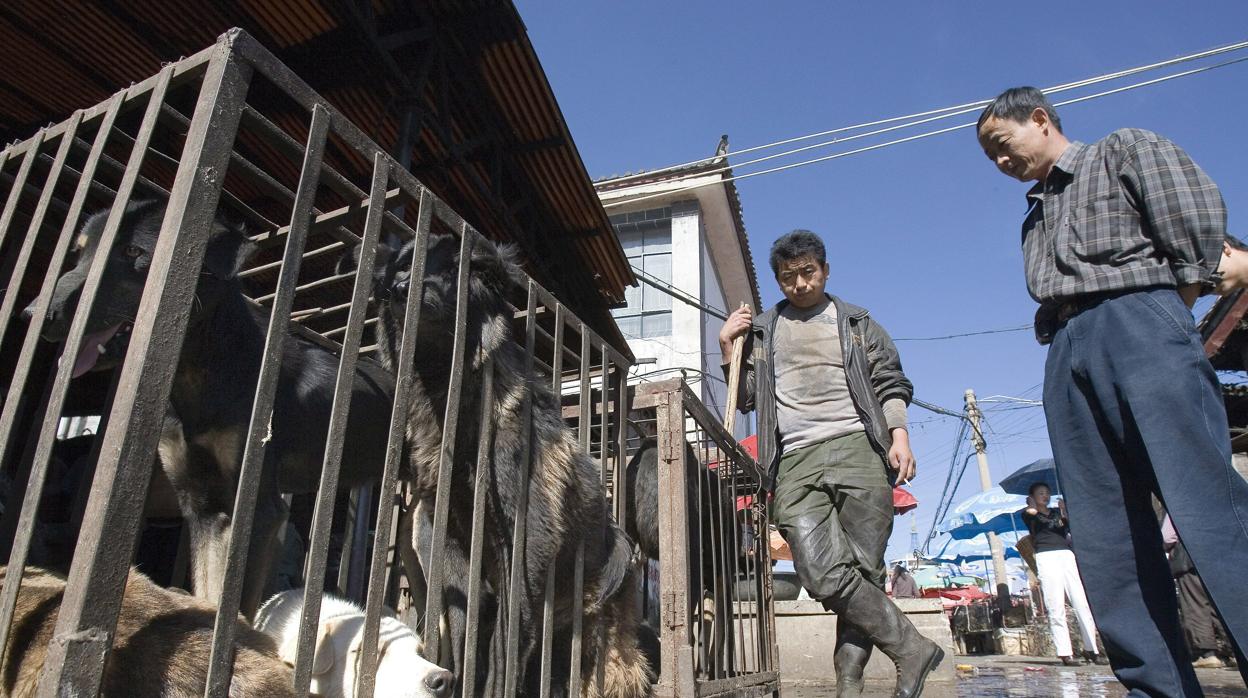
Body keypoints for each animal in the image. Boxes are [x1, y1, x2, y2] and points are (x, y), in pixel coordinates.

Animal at [24, 199, 396, 619]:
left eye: (133, 252)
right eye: (79, 254)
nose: (34, 313)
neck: (205, 370)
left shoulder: (259, 510)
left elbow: (234, 607)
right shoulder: (201, 507)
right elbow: (207, 591)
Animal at [349, 232, 653, 694]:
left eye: (454, 268)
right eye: (403, 266)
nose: (403, 289)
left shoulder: (528, 539)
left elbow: (507, 642)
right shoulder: (447, 539)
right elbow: (463, 634)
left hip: (604, 644)